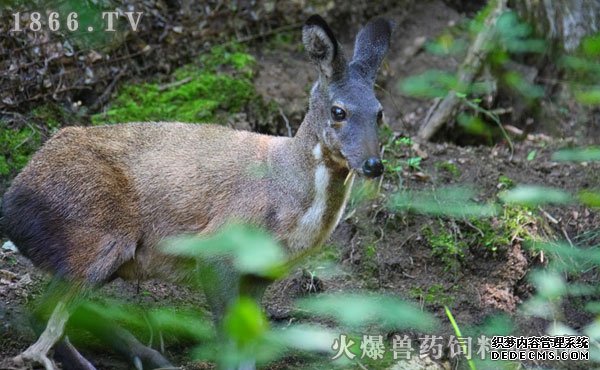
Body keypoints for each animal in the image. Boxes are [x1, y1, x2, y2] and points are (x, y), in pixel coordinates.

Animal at [2, 14, 394, 370]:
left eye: (379, 113)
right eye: (338, 111)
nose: (373, 164)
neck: (288, 201)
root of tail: (12, 202)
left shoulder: (260, 273)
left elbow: (250, 340)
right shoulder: (218, 246)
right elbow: (228, 338)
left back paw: (148, 357)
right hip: (96, 233)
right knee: (41, 311)